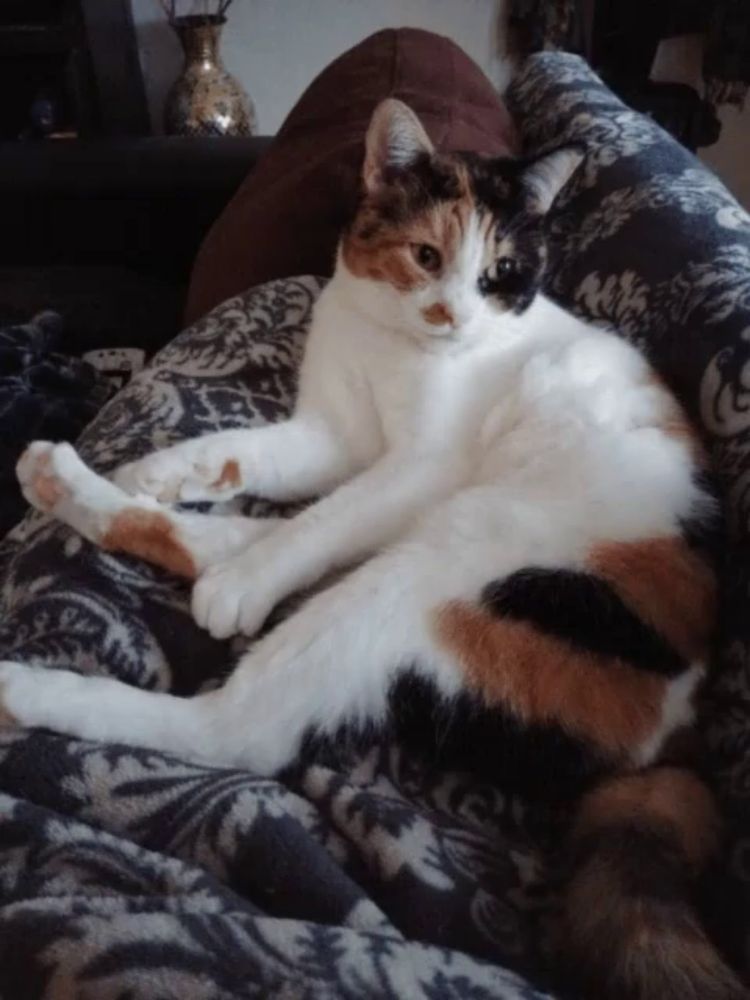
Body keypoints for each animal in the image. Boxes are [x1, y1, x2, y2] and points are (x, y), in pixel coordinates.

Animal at [0, 95, 748, 1000]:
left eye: (500, 273)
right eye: (426, 256)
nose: (454, 314)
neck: (390, 342)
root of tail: (677, 741)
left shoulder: (419, 466)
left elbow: (321, 518)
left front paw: (227, 568)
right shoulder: (336, 438)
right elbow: (248, 454)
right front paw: (157, 469)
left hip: (444, 561)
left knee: (236, 725)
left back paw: (31, 683)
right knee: (230, 542)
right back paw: (70, 481)